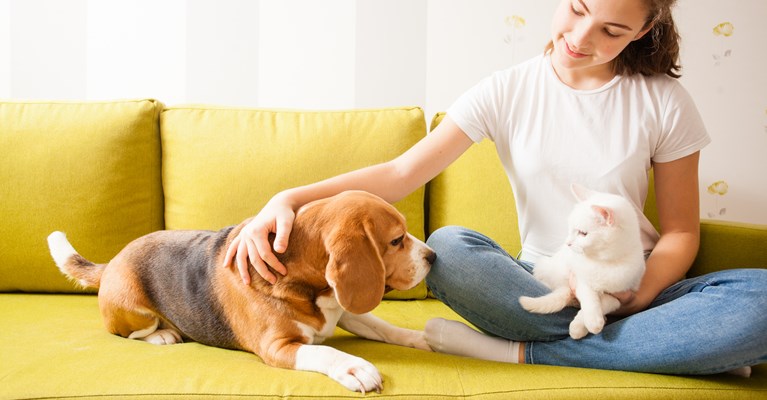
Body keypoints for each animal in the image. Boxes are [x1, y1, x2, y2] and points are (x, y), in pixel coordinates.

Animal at [46, 191, 432, 394]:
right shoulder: (278, 347)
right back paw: (163, 335)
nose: (432, 256)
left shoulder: (345, 309)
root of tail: (112, 261)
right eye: (396, 240)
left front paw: (423, 339)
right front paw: (355, 367)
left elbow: (385, 328)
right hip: (132, 309)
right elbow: (324, 352)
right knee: (131, 333)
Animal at [520, 184, 644, 338]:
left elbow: (605, 303)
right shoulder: (580, 280)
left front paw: (583, 324)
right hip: (547, 267)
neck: (603, 262)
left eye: (583, 233)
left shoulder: (622, 296)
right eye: (570, 229)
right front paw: (590, 321)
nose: (567, 243)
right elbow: (589, 299)